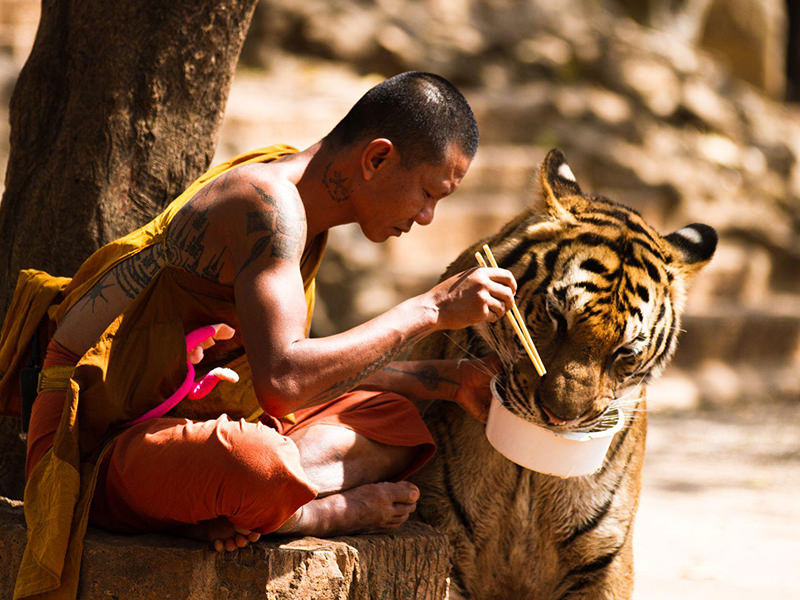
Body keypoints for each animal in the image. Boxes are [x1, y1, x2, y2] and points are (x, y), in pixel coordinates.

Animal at [410, 149, 716, 600]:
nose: (559, 417)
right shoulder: (444, 531)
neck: (529, 473)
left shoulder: (603, 556)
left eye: (625, 353)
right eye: (556, 317)